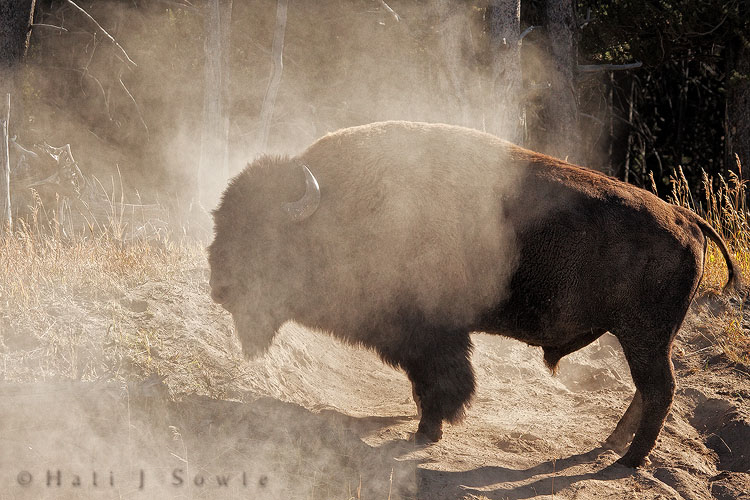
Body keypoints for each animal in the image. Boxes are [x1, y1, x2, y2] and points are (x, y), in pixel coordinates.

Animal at [208, 121, 741, 468]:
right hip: (640, 338)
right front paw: (423, 423)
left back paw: (626, 461)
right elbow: (426, 383)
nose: (218, 285)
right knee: (647, 392)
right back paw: (612, 446)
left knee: (659, 391)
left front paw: (427, 431)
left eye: (263, 235)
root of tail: (686, 220)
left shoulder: (431, 334)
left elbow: (442, 382)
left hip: (644, 337)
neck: (342, 209)